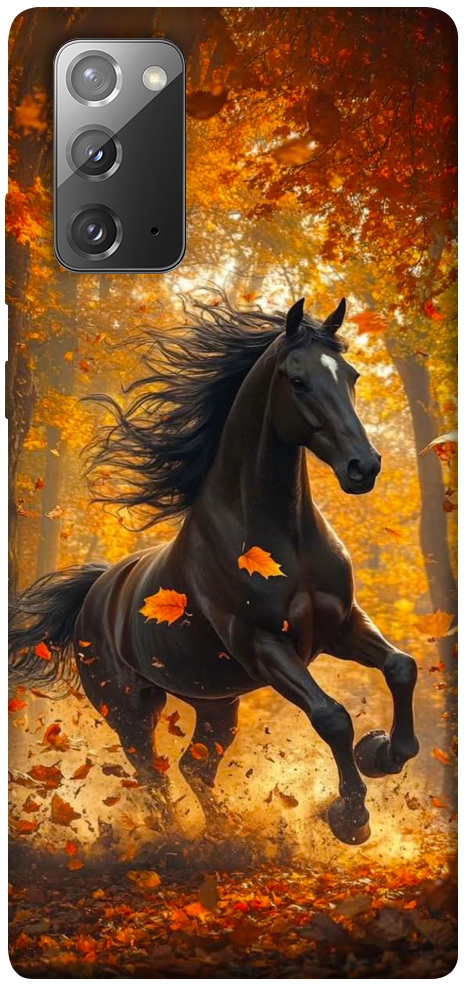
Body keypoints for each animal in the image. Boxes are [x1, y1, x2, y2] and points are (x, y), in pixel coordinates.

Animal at [9, 295, 420, 845]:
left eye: (350, 375)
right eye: (298, 381)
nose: (364, 467)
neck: (284, 539)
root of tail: (95, 592)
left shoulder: (341, 625)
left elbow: (401, 667)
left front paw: (382, 753)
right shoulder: (262, 643)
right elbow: (331, 716)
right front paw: (351, 817)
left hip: (216, 702)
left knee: (195, 768)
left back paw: (228, 834)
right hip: (129, 707)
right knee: (153, 774)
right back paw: (181, 842)